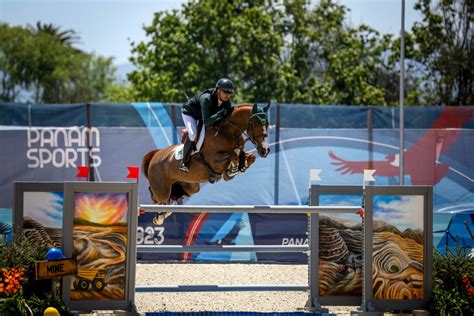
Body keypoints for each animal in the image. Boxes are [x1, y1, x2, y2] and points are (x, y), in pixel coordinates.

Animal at [141, 103, 270, 225]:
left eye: (267, 124)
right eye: (255, 124)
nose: (265, 150)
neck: (228, 133)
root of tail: (155, 154)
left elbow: (250, 157)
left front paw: (239, 167)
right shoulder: (214, 161)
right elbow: (233, 156)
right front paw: (231, 171)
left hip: (190, 186)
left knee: (171, 197)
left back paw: (165, 212)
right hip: (162, 189)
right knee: (156, 196)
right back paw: (159, 216)